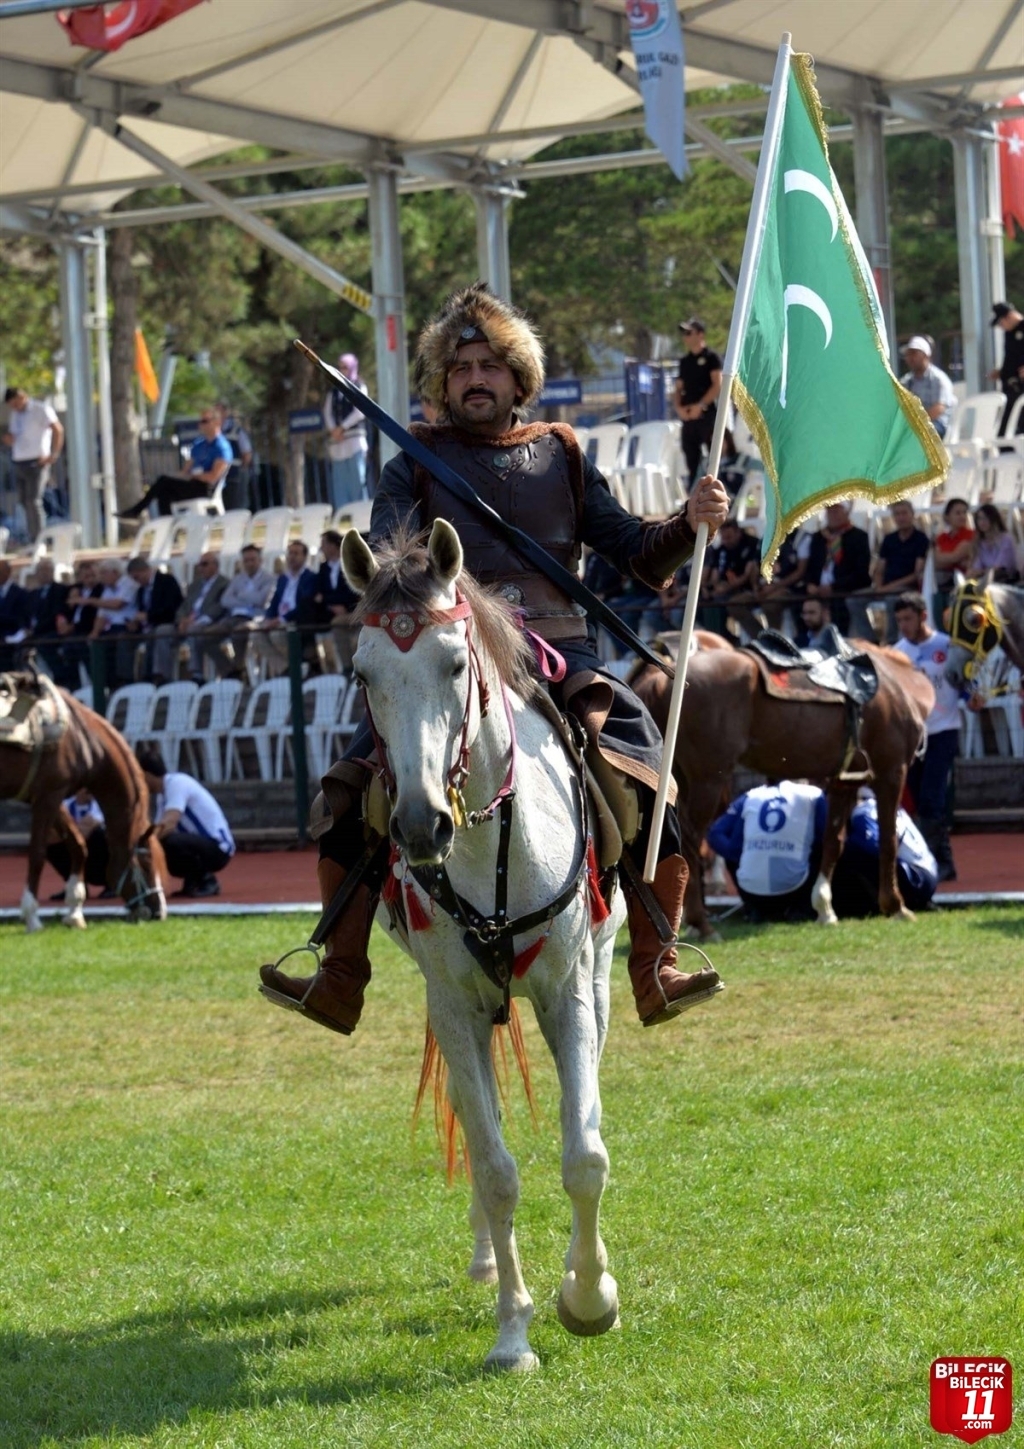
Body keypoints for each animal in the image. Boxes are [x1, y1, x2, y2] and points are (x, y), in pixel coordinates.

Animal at [1, 675, 166, 933]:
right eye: (147, 864)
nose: (160, 911)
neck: (81, 738)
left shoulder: (50, 795)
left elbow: (79, 845)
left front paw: (75, 911)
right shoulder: (48, 797)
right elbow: (37, 854)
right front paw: (32, 916)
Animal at [344, 521, 628, 1367]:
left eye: (453, 661)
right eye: (363, 673)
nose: (419, 823)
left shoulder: (567, 991)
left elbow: (585, 1155)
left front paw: (589, 1297)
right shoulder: (456, 1002)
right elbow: (496, 1166)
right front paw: (513, 1330)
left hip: (597, 976)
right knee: (479, 1128)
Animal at [637, 646, 938, 938]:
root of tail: (661, 678)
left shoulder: (844, 782)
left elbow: (834, 842)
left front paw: (825, 909)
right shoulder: (892, 773)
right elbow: (889, 840)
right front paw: (896, 906)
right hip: (707, 780)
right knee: (689, 840)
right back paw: (701, 922)